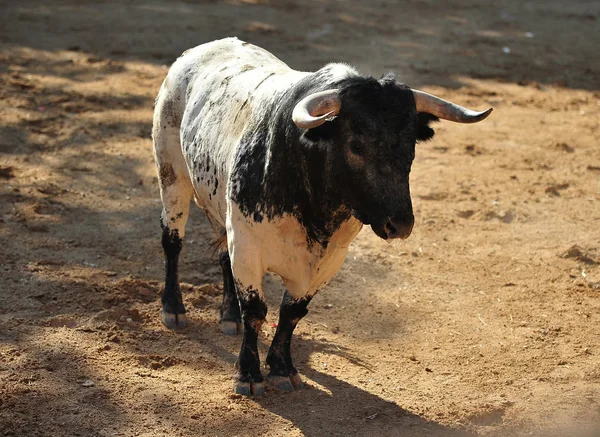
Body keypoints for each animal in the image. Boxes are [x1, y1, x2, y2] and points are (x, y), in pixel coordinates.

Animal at [151, 37, 492, 396]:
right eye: (356, 145)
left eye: (410, 143)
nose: (399, 224)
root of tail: (201, 50)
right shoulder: (247, 246)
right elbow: (256, 311)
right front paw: (248, 374)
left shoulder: (328, 260)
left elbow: (292, 312)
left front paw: (281, 367)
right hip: (172, 175)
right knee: (172, 240)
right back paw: (173, 308)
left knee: (220, 255)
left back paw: (228, 316)